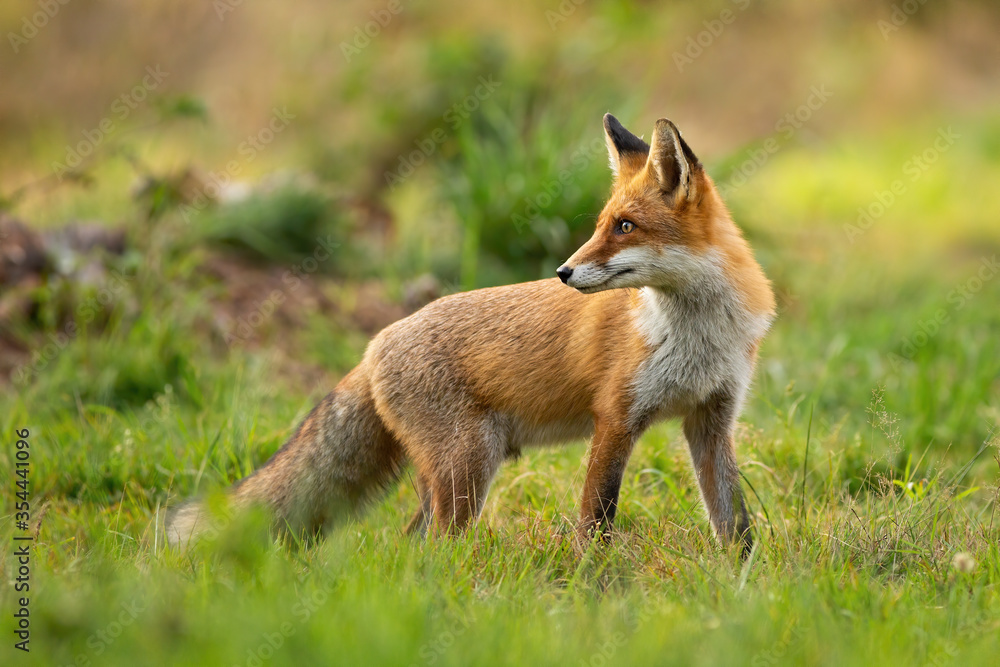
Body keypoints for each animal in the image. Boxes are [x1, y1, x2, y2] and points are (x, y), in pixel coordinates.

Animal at [170, 113, 772, 552]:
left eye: (626, 227)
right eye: (602, 225)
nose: (563, 272)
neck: (696, 336)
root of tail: (373, 344)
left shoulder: (711, 421)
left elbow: (735, 524)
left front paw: (742, 587)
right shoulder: (616, 418)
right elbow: (596, 524)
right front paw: (591, 588)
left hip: (461, 472)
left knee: (408, 544)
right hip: (467, 470)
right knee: (429, 548)